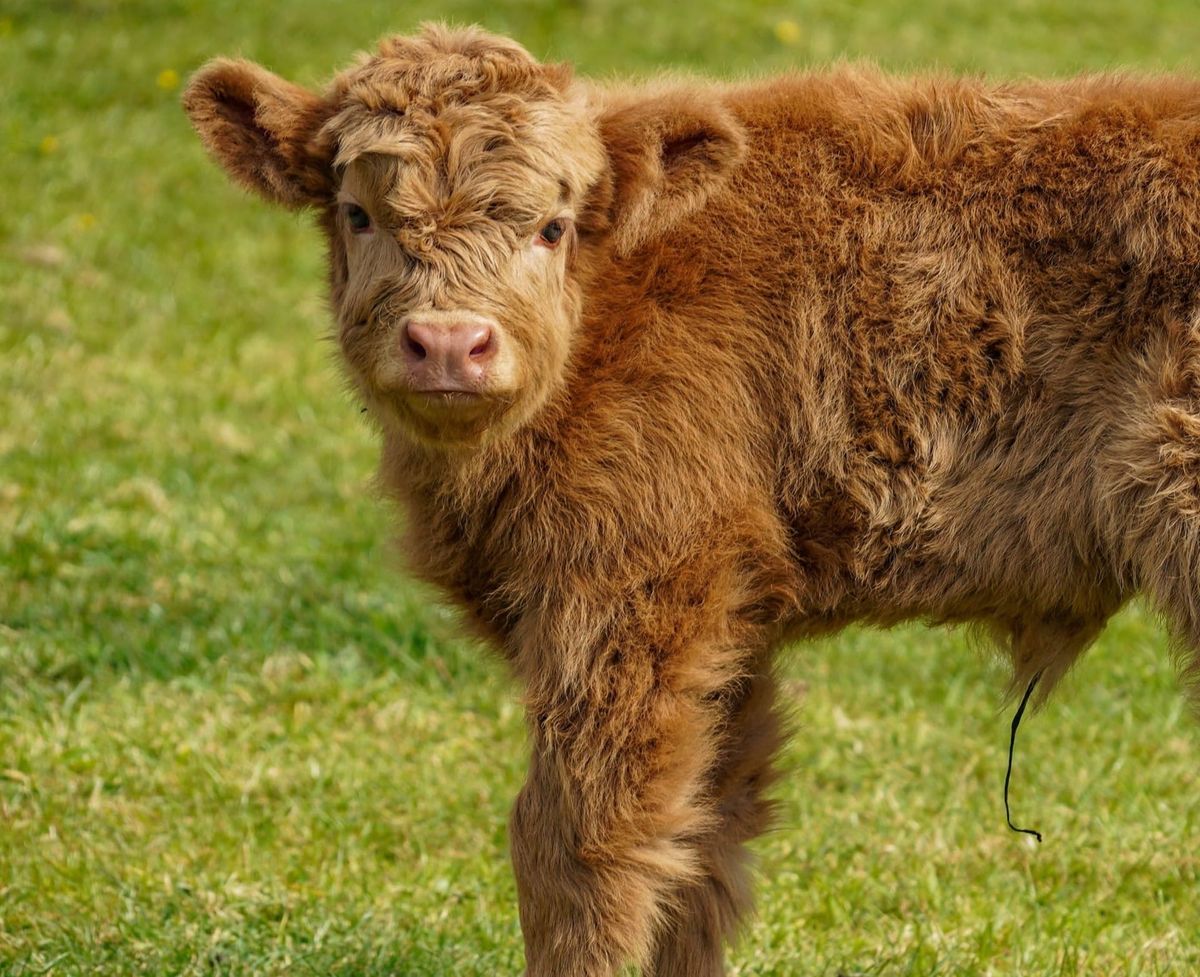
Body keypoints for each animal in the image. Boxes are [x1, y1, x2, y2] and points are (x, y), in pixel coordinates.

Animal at [183, 24, 1200, 975]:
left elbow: (580, 845)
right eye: (357, 213)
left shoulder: (634, 594)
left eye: (553, 226)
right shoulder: (725, 623)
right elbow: (705, 841)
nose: (447, 342)